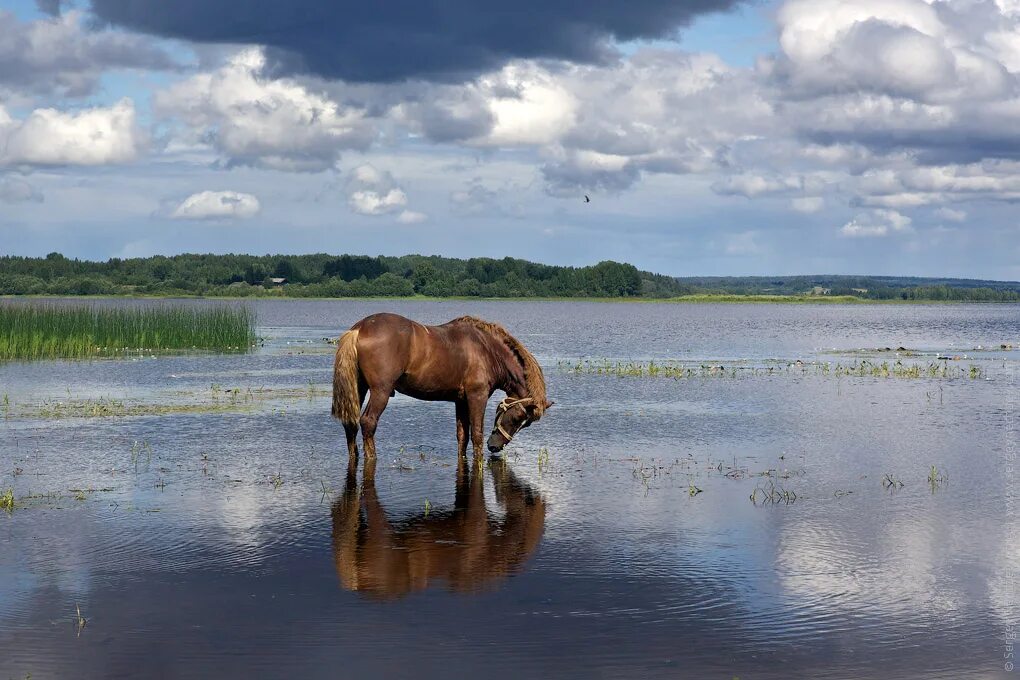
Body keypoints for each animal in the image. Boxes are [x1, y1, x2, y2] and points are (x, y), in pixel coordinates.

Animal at [330, 314, 554, 468]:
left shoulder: (460, 401)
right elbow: (477, 434)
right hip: (381, 391)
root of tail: (359, 329)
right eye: (517, 418)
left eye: (526, 424)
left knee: (350, 422)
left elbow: (462, 436)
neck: (487, 350)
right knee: (368, 422)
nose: (495, 447)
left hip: (359, 388)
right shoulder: (477, 396)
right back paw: (372, 458)